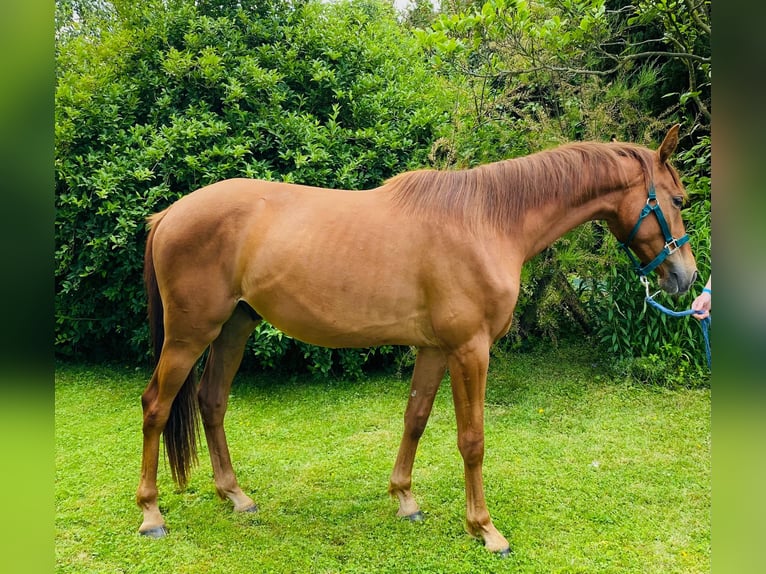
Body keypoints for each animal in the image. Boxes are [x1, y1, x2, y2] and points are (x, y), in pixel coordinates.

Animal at [136, 127, 696, 560]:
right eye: (678, 199)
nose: (685, 276)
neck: (487, 221)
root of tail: (168, 216)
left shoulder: (436, 348)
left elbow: (416, 417)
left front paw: (405, 499)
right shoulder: (470, 349)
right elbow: (472, 440)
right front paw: (484, 529)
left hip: (234, 327)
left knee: (212, 401)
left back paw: (236, 496)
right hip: (190, 336)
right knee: (155, 407)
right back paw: (151, 514)